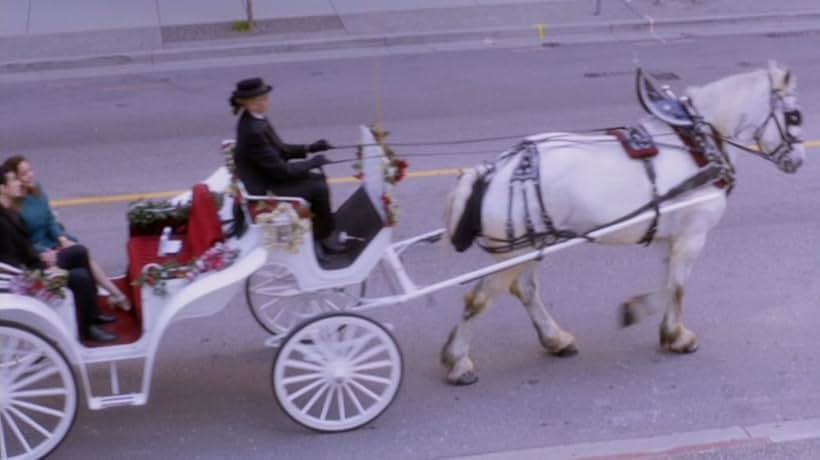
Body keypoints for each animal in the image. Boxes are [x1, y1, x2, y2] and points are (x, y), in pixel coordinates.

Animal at [442, 61, 808, 384]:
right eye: (794, 116)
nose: (799, 161)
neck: (697, 142)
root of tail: (494, 169)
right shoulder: (692, 235)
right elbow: (676, 287)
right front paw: (669, 331)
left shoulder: (670, 237)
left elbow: (669, 283)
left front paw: (658, 324)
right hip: (514, 252)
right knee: (478, 301)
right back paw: (458, 362)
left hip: (530, 245)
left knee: (526, 290)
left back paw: (555, 339)